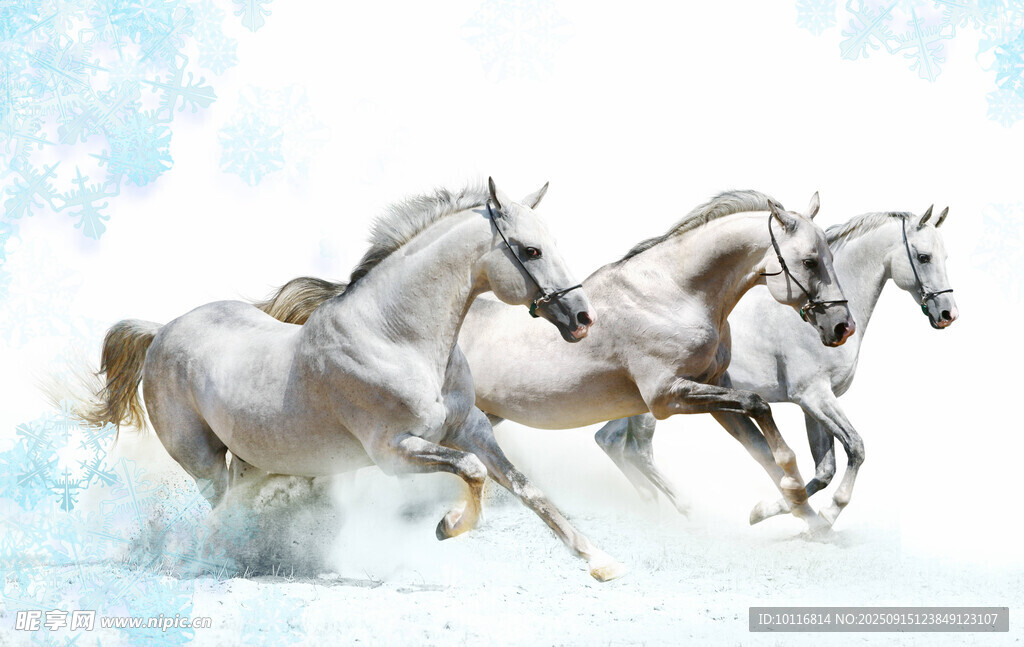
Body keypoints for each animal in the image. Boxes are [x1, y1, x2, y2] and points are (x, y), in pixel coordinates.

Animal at [83, 179, 628, 582]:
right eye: (531, 250)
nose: (583, 318)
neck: (396, 337)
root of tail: (162, 330)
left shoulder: (470, 428)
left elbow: (525, 488)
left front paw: (602, 562)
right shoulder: (394, 452)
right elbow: (473, 472)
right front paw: (447, 527)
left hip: (253, 457)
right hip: (202, 461)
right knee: (222, 506)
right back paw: (222, 558)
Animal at [251, 190, 856, 530]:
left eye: (829, 256)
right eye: (809, 259)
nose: (840, 327)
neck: (675, 292)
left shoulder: (709, 395)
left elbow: (763, 440)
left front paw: (803, 519)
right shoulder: (668, 397)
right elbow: (761, 409)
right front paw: (793, 499)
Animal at [593, 206, 957, 527]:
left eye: (945, 257)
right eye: (924, 257)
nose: (947, 314)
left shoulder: (814, 403)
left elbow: (824, 469)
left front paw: (773, 510)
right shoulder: (813, 396)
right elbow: (855, 447)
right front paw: (824, 514)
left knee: (609, 439)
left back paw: (651, 504)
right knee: (637, 449)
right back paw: (683, 508)